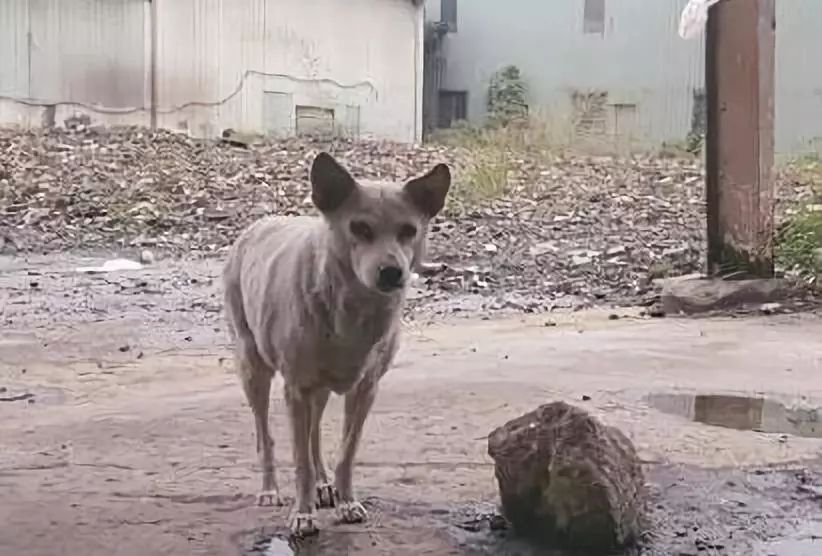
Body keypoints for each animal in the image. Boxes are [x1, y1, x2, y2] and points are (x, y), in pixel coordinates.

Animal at [224, 151, 450, 536]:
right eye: (360, 228)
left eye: (409, 231)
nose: (393, 273)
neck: (353, 310)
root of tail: (259, 224)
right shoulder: (296, 388)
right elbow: (299, 459)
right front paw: (303, 514)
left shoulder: (365, 389)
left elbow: (346, 451)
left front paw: (345, 501)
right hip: (253, 368)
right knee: (266, 434)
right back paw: (270, 489)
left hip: (321, 388)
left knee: (314, 431)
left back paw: (322, 484)